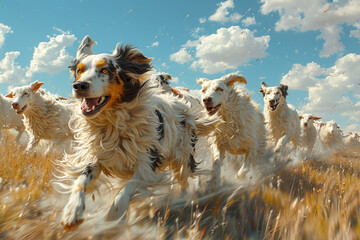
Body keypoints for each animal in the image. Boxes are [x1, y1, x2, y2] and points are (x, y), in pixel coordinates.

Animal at [59, 35, 218, 229]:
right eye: (79, 71)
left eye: (105, 70)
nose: (79, 86)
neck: (113, 123)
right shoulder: (99, 155)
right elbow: (81, 180)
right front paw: (72, 211)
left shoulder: (149, 162)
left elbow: (126, 190)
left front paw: (112, 217)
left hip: (184, 156)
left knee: (183, 179)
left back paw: (184, 198)